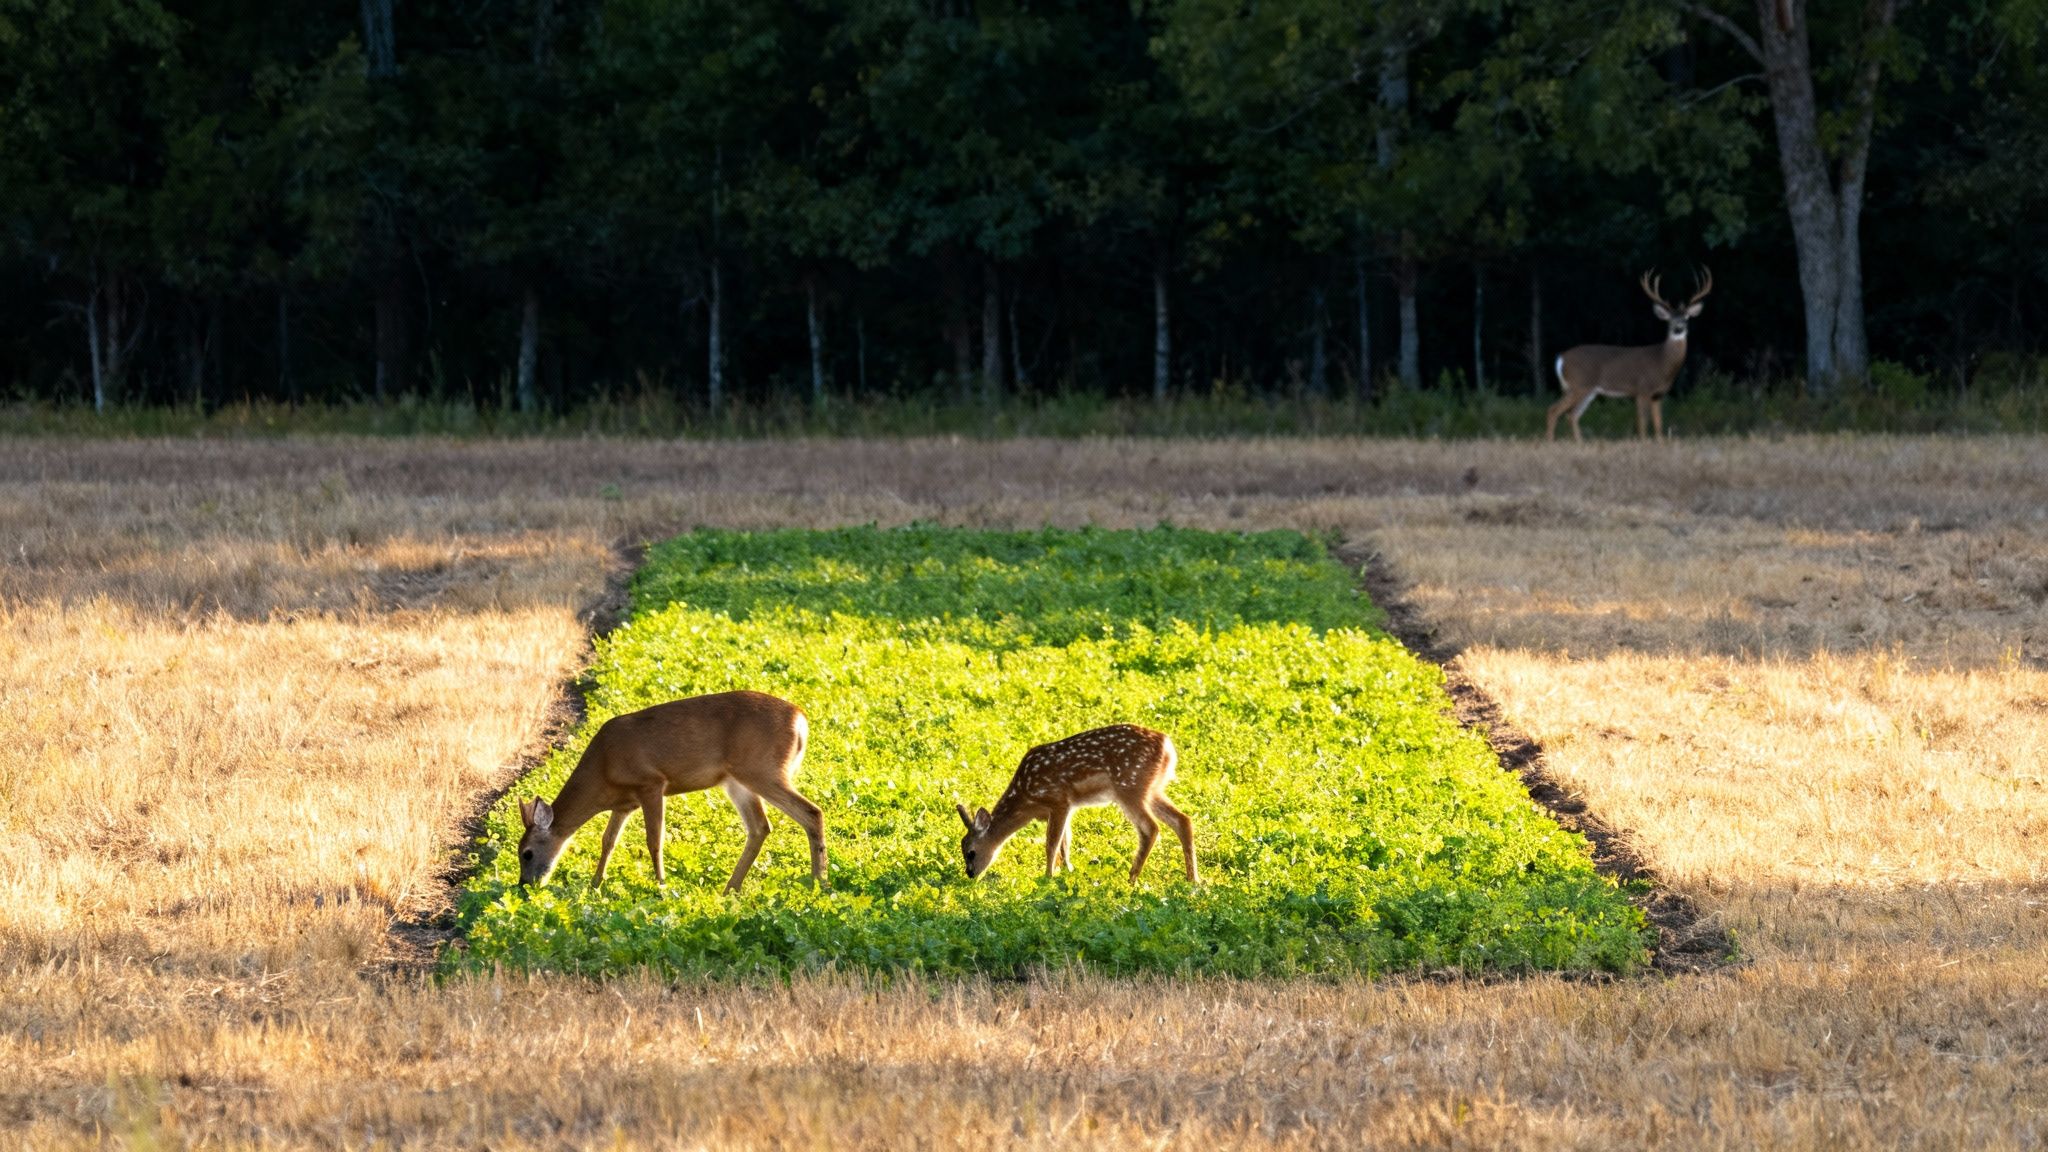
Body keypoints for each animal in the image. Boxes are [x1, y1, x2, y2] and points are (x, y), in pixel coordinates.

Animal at [515, 690, 827, 893]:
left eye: (527, 853)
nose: (523, 885)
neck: (603, 767)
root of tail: (801, 719)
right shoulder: (624, 804)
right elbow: (608, 841)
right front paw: (595, 884)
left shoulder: (651, 783)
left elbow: (654, 840)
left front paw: (661, 885)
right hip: (737, 782)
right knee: (761, 827)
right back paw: (730, 888)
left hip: (762, 770)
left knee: (812, 812)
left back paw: (819, 883)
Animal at [954, 723, 1197, 884]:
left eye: (971, 852)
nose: (970, 874)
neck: (1026, 799)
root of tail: (1167, 747)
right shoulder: (1067, 807)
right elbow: (1066, 841)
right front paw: (1067, 870)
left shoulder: (1058, 799)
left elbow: (1052, 842)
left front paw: (1048, 876)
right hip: (1152, 789)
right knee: (1182, 820)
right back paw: (1193, 880)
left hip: (1130, 787)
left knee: (1151, 828)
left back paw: (1132, 878)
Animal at [1547, 268, 1712, 442]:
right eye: (1670, 320)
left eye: (1686, 318)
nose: (1679, 328)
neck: (1662, 361)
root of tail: (1561, 357)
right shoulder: (1642, 389)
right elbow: (1642, 421)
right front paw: (1643, 442)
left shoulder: (1658, 395)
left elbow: (1658, 423)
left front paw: (1659, 443)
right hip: (1579, 385)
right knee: (1554, 410)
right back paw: (1551, 441)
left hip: (1586, 390)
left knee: (1572, 415)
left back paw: (1580, 443)